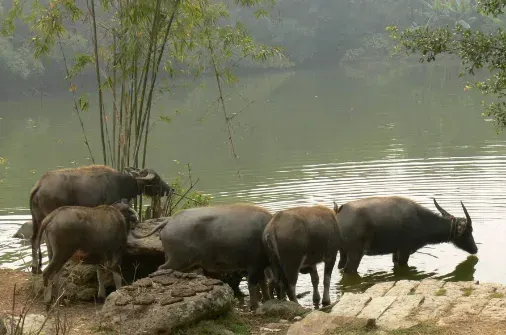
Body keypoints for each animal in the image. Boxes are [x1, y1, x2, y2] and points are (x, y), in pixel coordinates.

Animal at [130, 203, 272, 312]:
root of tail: (169, 221)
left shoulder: (260, 267)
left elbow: (263, 284)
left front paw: (268, 301)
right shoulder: (253, 265)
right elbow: (252, 285)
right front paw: (255, 307)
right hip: (178, 259)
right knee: (160, 267)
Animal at [336, 197, 478, 276]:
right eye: (468, 231)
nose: (475, 249)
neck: (422, 221)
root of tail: (339, 211)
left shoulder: (396, 252)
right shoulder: (404, 250)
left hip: (343, 253)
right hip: (355, 253)